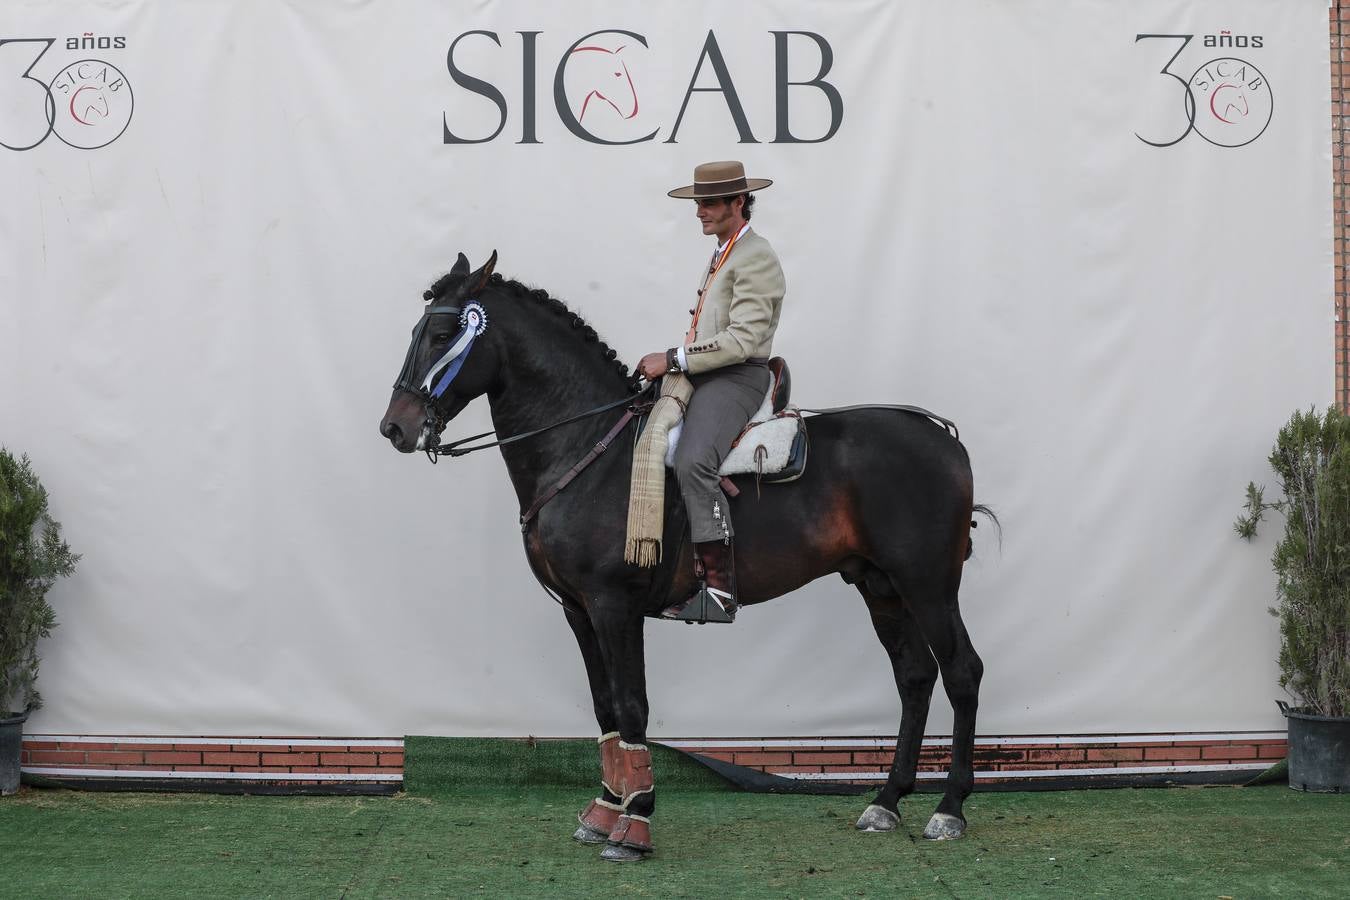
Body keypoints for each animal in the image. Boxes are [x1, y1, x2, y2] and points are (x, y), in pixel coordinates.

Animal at [380, 256, 993, 863]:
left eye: (443, 335)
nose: (395, 427)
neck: (589, 447)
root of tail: (945, 438)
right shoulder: (579, 611)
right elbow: (605, 708)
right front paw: (604, 812)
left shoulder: (614, 606)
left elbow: (632, 705)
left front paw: (635, 824)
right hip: (880, 585)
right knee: (915, 676)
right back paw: (886, 801)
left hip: (929, 585)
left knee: (962, 672)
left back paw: (949, 809)